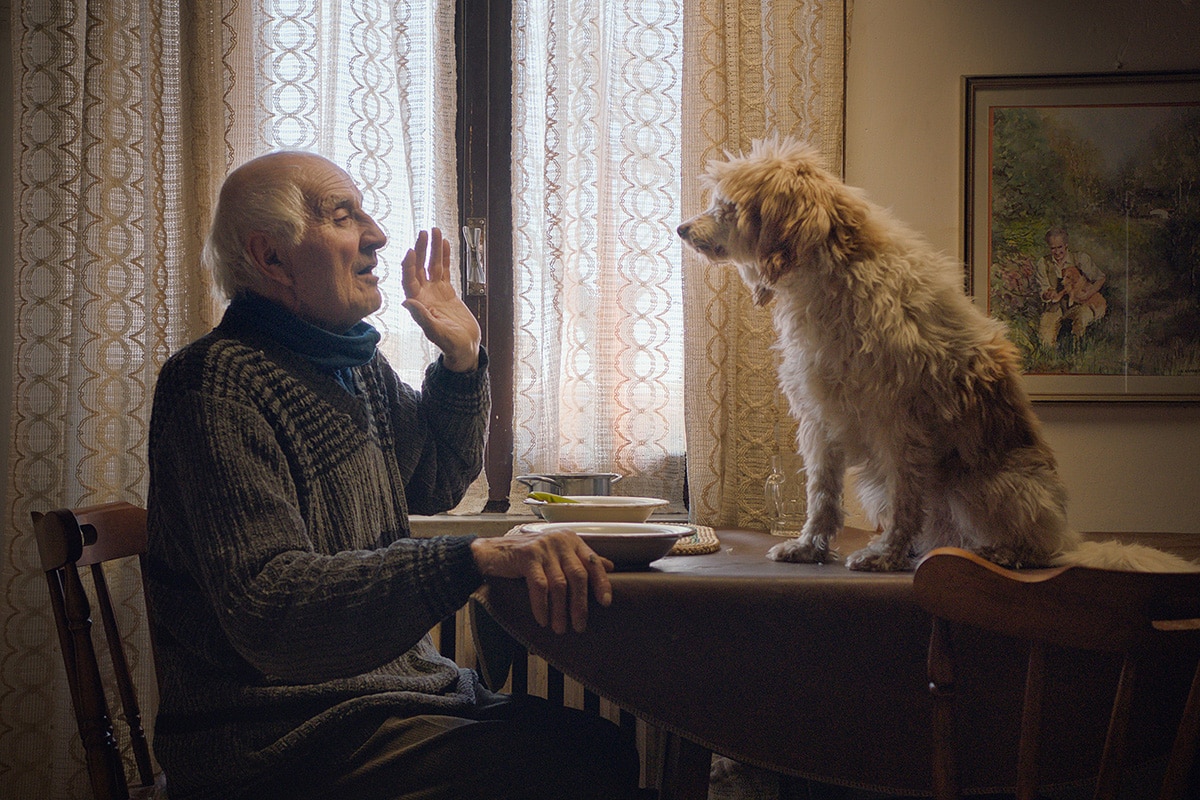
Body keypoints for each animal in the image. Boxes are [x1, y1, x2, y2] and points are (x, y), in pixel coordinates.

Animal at [681, 139, 1195, 575]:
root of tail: (1067, 538)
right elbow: (821, 494)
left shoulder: (900, 424)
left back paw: (999, 551)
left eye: (727, 207)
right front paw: (810, 547)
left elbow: (906, 500)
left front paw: (885, 555)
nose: (682, 228)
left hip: (985, 487)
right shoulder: (820, 417)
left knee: (1030, 547)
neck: (834, 278)